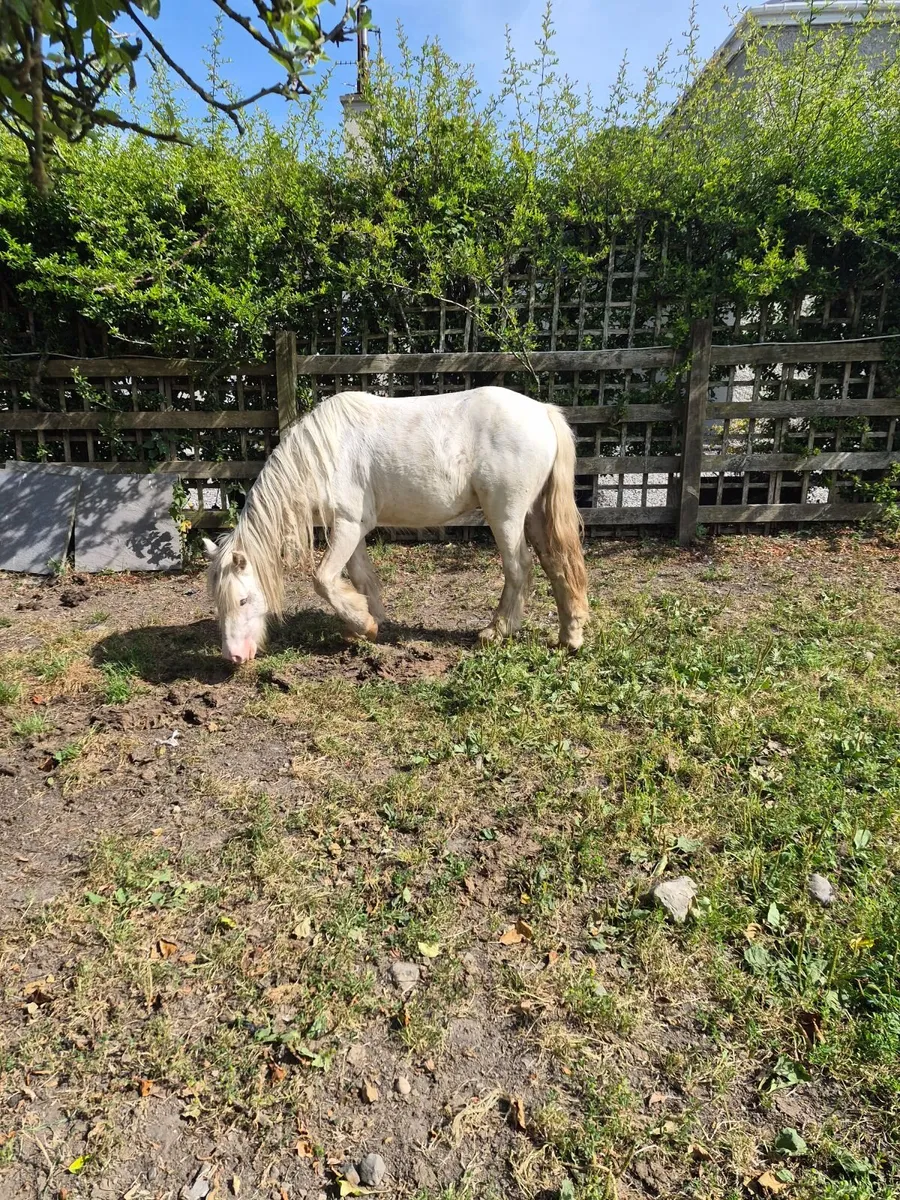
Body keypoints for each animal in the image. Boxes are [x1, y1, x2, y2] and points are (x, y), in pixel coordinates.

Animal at [203, 386, 589, 664]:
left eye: (242, 600)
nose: (233, 657)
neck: (322, 455)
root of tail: (542, 411)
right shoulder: (352, 529)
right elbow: (361, 577)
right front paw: (367, 622)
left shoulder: (346, 527)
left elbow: (323, 580)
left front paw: (364, 623)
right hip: (534, 513)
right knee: (557, 563)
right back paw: (569, 637)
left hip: (505, 515)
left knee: (519, 567)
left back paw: (497, 630)